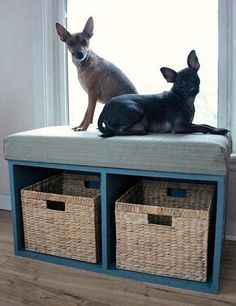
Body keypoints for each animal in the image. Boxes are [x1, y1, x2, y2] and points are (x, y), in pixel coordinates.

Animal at [97, 50, 228, 137]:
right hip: (136, 109)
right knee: (118, 131)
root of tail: (104, 110)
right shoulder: (179, 127)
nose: (193, 89)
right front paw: (218, 130)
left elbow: (205, 124)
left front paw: (216, 128)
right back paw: (140, 131)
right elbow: (202, 126)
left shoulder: (188, 124)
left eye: (195, 78)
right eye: (181, 83)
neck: (184, 100)